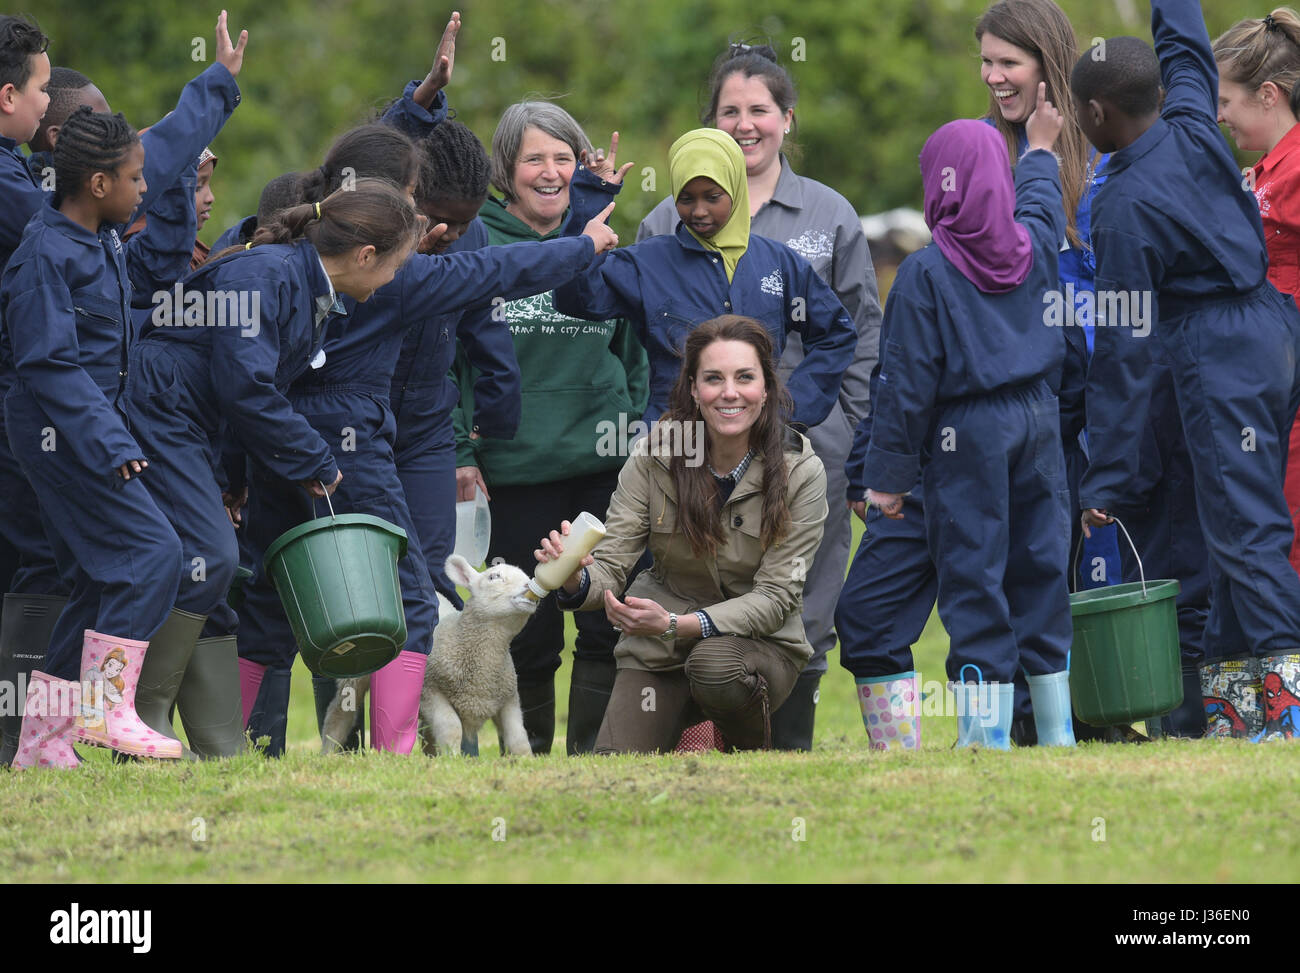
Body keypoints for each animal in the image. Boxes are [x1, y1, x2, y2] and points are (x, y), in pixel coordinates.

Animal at [321, 559, 538, 754]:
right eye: (494, 576)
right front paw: (453, 759)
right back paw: (329, 752)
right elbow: (451, 728)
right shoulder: (430, 691)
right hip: (355, 673)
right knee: (338, 714)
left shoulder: (508, 699)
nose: (529, 586)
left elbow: (518, 739)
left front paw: (525, 761)